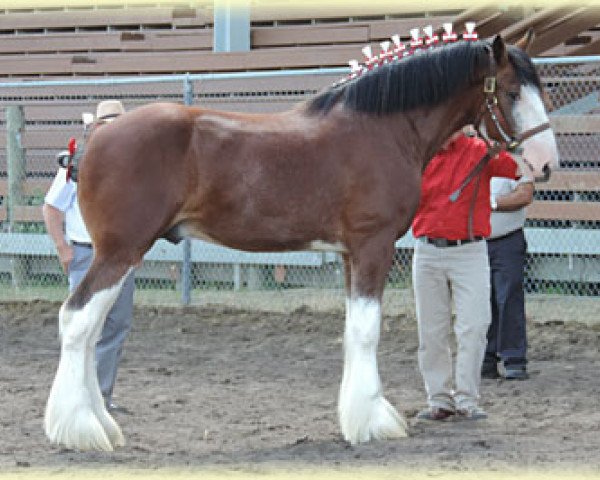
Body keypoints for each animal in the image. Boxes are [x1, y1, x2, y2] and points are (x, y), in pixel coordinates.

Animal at [45, 33, 556, 450]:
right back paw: (80, 429)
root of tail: (95, 138)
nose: (545, 163)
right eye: (511, 93)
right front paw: (374, 423)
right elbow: (367, 331)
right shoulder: (373, 247)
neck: (383, 130)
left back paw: (98, 424)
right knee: (78, 321)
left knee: (91, 328)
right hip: (120, 252)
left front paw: (356, 417)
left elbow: (353, 331)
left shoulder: (350, 255)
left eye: (543, 91)